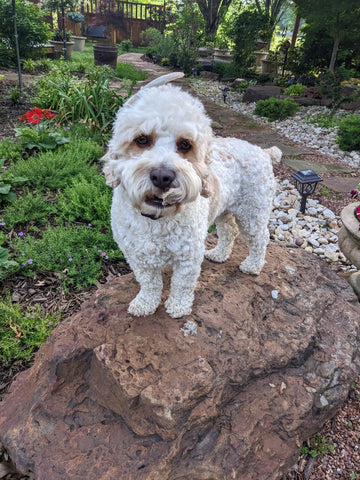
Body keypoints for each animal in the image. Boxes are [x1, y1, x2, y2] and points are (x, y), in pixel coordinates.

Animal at [102, 72, 280, 318]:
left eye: (185, 144)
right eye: (142, 139)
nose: (162, 176)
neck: (157, 219)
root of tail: (263, 151)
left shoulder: (189, 254)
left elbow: (182, 283)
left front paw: (178, 306)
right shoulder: (137, 255)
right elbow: (149, 283)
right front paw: (145, 303)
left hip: (252, 212)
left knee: (260, 237)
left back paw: (253, 266)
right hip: (223, 209)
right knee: (229, 231)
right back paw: (219, 254)